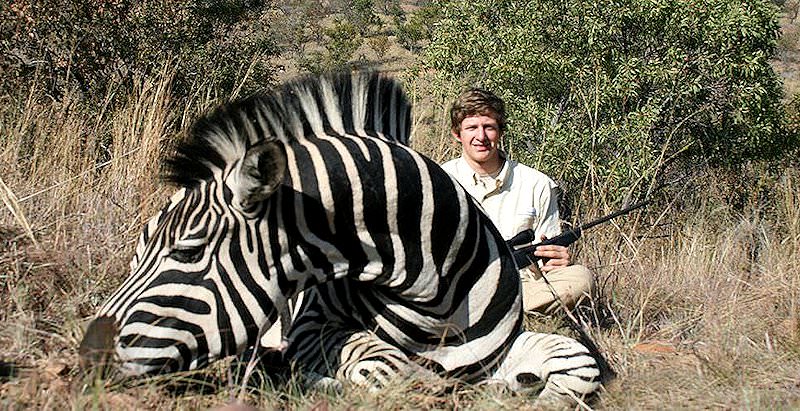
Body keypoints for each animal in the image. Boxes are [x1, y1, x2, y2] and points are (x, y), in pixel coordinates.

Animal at [79, 70, 600, 406]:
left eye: (186, 251)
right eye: (139, 250)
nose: (87, 356)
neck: (432, 296)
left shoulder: (498, 347)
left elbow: (579, 361)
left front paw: (526, 388)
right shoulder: (312, 329)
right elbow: (389, 367)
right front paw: (321, 382)